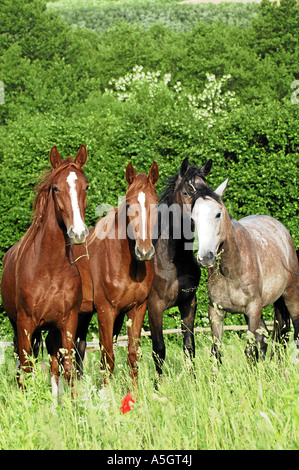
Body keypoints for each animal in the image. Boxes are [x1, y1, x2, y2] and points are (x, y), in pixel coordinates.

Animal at [0, 145, 89, 394]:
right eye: (56, 188)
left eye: (86, 186)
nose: (78, 232)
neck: (50, 270)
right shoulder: (25, 323)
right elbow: (27, 368)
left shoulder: (67, 322)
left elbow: (67, 369)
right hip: (18, 325)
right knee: (22, 366)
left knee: (53, 365)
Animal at [74, 162, 159, 390]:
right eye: (129, 205)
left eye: (156, 205)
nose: (144, 251)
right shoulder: (106, 311)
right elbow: (108, 357)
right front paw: (108, 394)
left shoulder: (136, 309)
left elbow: (133, 354)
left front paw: (135, 394)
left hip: (82, 314)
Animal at [190, 177, 299, 360]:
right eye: (193, 219)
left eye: (218, 214)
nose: (205, 256)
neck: (233, 270)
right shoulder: (216, 311)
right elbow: (216, 351)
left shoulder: (253, 309)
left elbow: (249, 350)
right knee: (265, 339)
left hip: (291, 296)